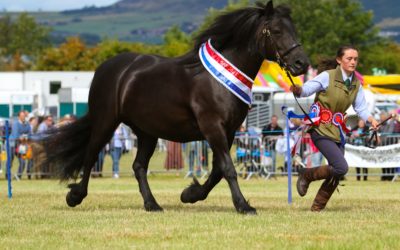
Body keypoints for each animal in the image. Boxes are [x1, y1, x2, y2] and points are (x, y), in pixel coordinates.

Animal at [43, 0, 310, 214]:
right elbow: (227, 168)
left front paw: (190, 195)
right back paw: (75, 196)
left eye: (294, 29)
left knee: (138, 166)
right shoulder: (212, 127)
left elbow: (216, 170)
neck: (218, 79)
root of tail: (106, 69)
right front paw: (243, 205)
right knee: (90, 155)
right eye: (276, 31)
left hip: (147, 132)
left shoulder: (229, 130)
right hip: (106, 122)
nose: (302, 64)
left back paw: (152, 204)